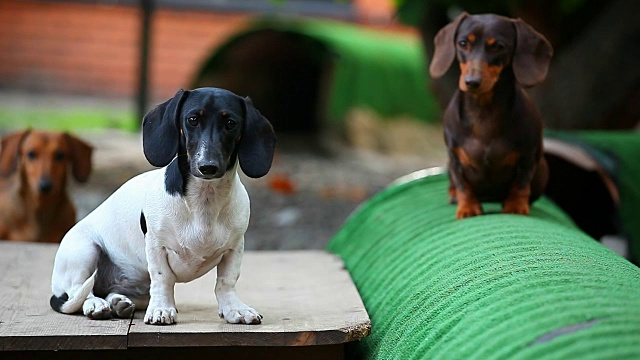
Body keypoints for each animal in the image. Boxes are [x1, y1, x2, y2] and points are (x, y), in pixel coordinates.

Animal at [51, 88, 276, 326]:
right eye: (192, 119)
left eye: (231, 123)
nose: (208, 167)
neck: (204, 201)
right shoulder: (157, 246)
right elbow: (163, 278)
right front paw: (161, 309)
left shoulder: (235, 247)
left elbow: (226, 281)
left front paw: (234, 309)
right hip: (83, 251)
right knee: (80, 291)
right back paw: (95, 304)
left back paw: (118, 302)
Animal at [432, 11, 552, 219]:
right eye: (463, 43)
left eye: (498, 47)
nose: (472, 82)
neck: (483, 111)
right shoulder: (454, 157)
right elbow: (462, 184)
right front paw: (467, 208)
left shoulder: (528, 156)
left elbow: (521, 183)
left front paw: (516, 206)